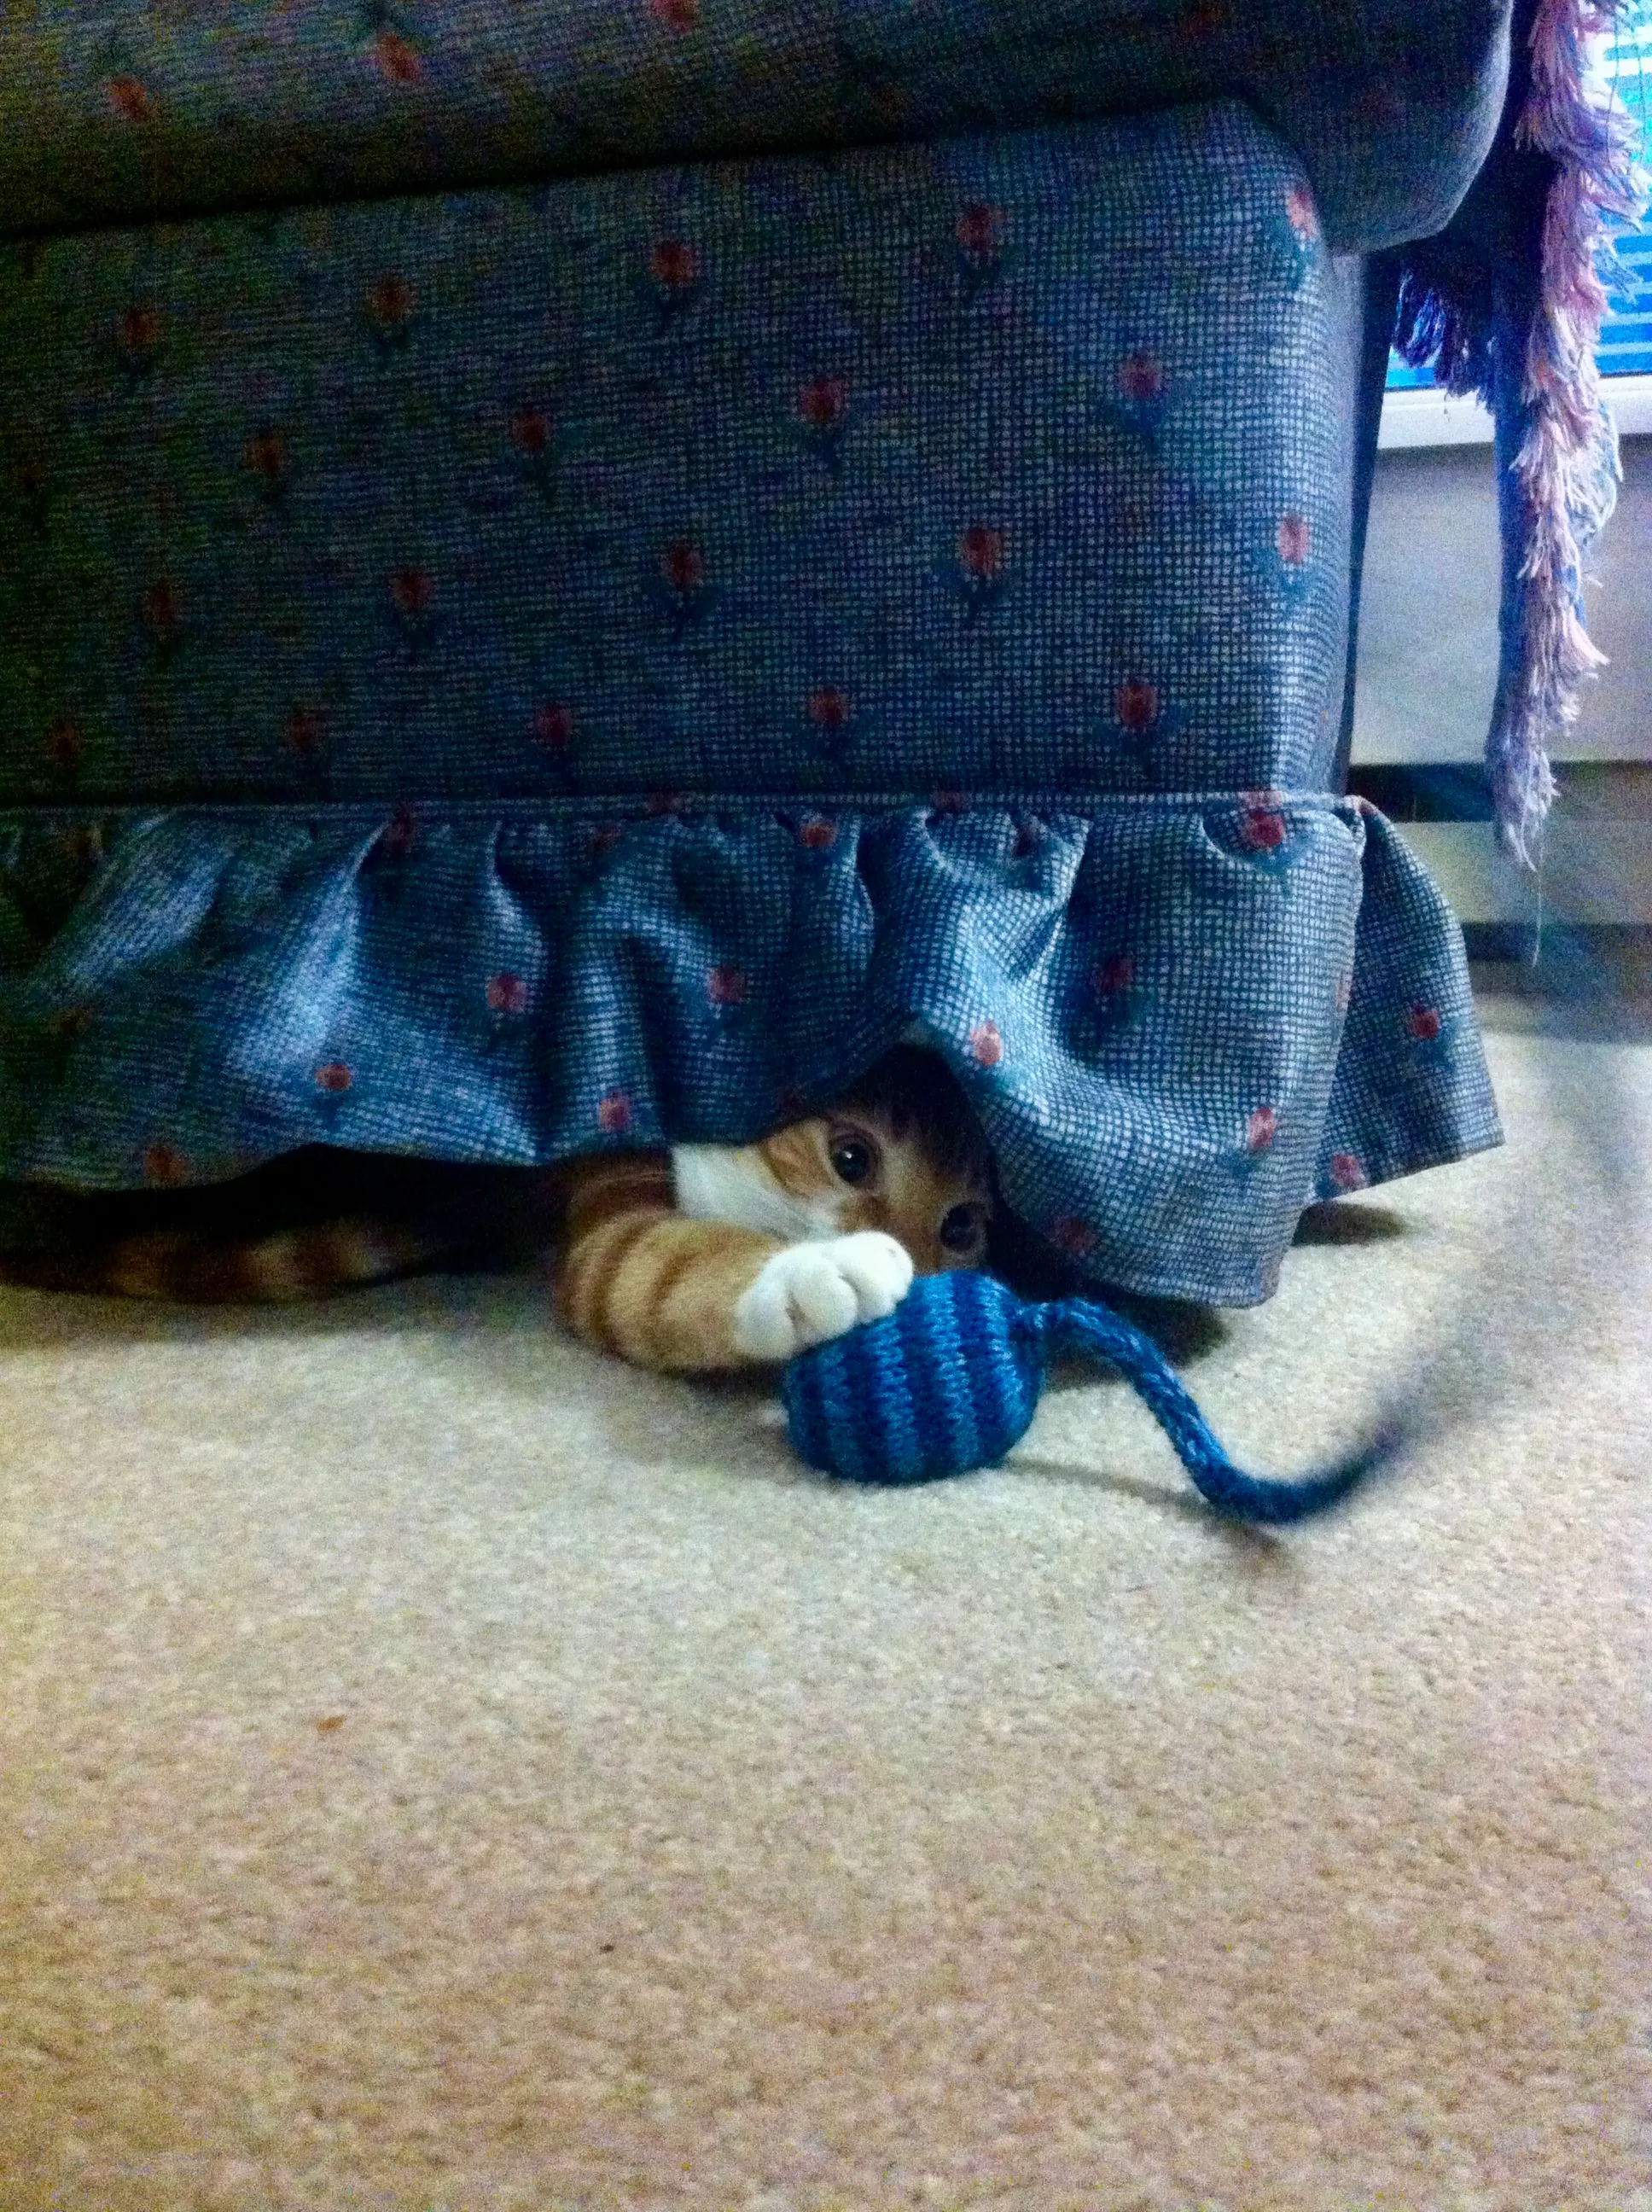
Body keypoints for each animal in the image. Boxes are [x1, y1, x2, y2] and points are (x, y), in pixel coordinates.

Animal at [0, 1048, 995, 1362]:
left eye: (964, 1225)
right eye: (852, 1156)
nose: (931, 1270)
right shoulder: (614, 1203)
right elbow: (659, 1265)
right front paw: (817, 1271)